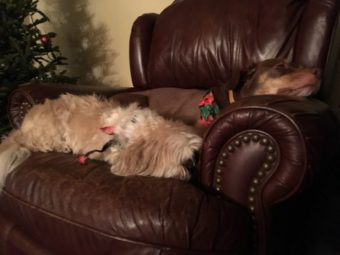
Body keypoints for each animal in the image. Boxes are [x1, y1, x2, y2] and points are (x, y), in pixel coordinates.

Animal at [0, 93, 202, 187]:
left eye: (195, 156)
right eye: (185, 159)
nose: (193, 166)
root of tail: (21, 128)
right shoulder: (113, 151)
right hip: (50, 131)